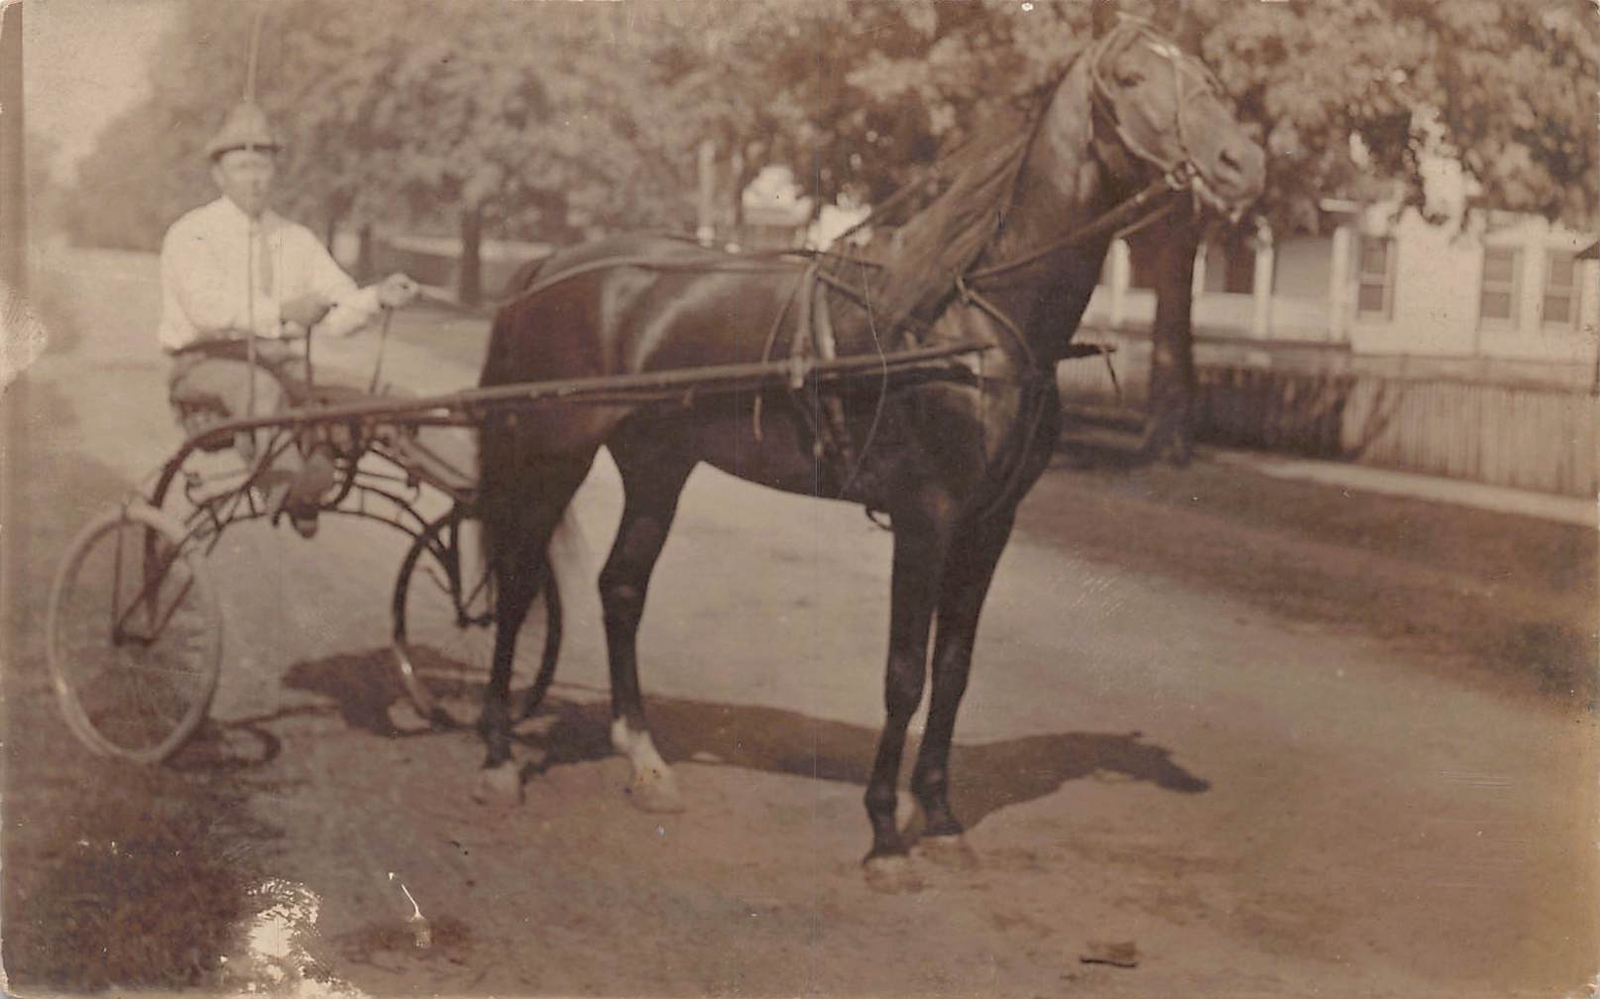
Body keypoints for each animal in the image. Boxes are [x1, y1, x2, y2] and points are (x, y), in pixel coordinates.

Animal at [472, 19, 1265, 889]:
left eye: (1207, 75)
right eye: (1129, 79)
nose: (1242, 164)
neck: (972, 322)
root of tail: (552, 268)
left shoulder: (988, 523)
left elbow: (953, 671)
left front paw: (942, 817)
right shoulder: (925, 517)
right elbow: (904, 675)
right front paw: (886, 834)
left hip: (658, 464)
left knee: (620, 588)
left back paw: (645, 762)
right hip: (556, 454)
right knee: (519, 583)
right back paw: (498, 754)